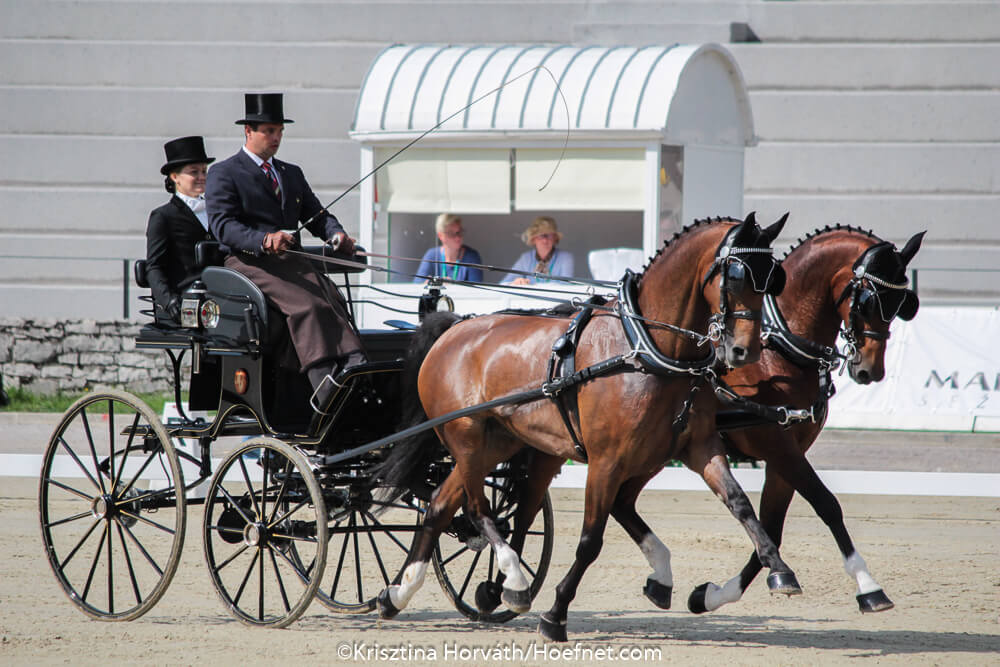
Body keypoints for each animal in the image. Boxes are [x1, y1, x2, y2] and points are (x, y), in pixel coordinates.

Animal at [376, 214, 796, 640]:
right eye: (736, 276)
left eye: (774, 279)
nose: (745, 351)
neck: (645, 349)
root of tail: (454, 328)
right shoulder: (606, 461)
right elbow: (591, 540)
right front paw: (555, 615)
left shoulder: (697, 447)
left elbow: (740, 503)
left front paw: (779, 571)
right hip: (467, 439)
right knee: (478, 509)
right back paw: (513, 580)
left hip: (496, 444)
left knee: (439, 505)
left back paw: (398, 593)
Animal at [684, 226, 924, 616]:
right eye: (868, 301)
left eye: (902, 303)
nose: (870, 371)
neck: (778, 352)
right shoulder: (777, 446)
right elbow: (826, 504)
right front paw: (868, 585)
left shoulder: (790, 451)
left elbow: (772, 526)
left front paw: (716, 593)